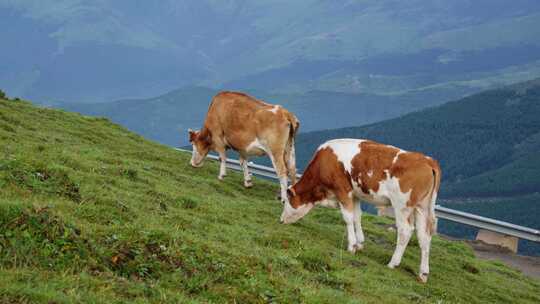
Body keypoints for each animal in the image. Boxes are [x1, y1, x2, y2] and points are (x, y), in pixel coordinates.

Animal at [280, 139, 440, 284]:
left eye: (286, 201)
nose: (281, 220)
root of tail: (428, 161)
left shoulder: (342, 190)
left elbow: (348, 218)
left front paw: (351, 246)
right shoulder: (355, 194)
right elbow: (357, 217)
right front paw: (360, 243)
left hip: (402, 206)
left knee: (405, 231)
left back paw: (392, 263)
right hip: (422, 207)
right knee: (424, 236)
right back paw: (423, 273)